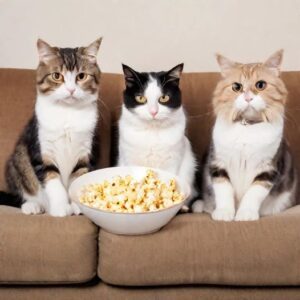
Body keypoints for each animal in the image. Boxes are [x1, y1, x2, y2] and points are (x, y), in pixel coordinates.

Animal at [0, 38, 102, 216]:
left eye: (81, 76)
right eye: (56, 76)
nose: (71, 89)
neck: (68, 113)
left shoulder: (85, 151)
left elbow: (79, 174)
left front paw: (77, 205)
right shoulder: (42, 149)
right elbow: (52, 180)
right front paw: (61, 208)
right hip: (16, 161)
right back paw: (32, 206)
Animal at [117, 64, 197, 203]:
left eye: (164, 98)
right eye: (140, 98)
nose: (153, 112)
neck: (152, 132)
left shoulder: (173, 161)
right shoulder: (130, 159)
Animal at [192, 49, 298, 220]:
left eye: (260, 85)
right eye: (236, 87)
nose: (248, 97)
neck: (247, 126)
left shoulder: (268, 169)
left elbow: (253, 194)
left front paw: (245, 214)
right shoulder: (218, 164)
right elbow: (224, 191)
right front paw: (224, 213)